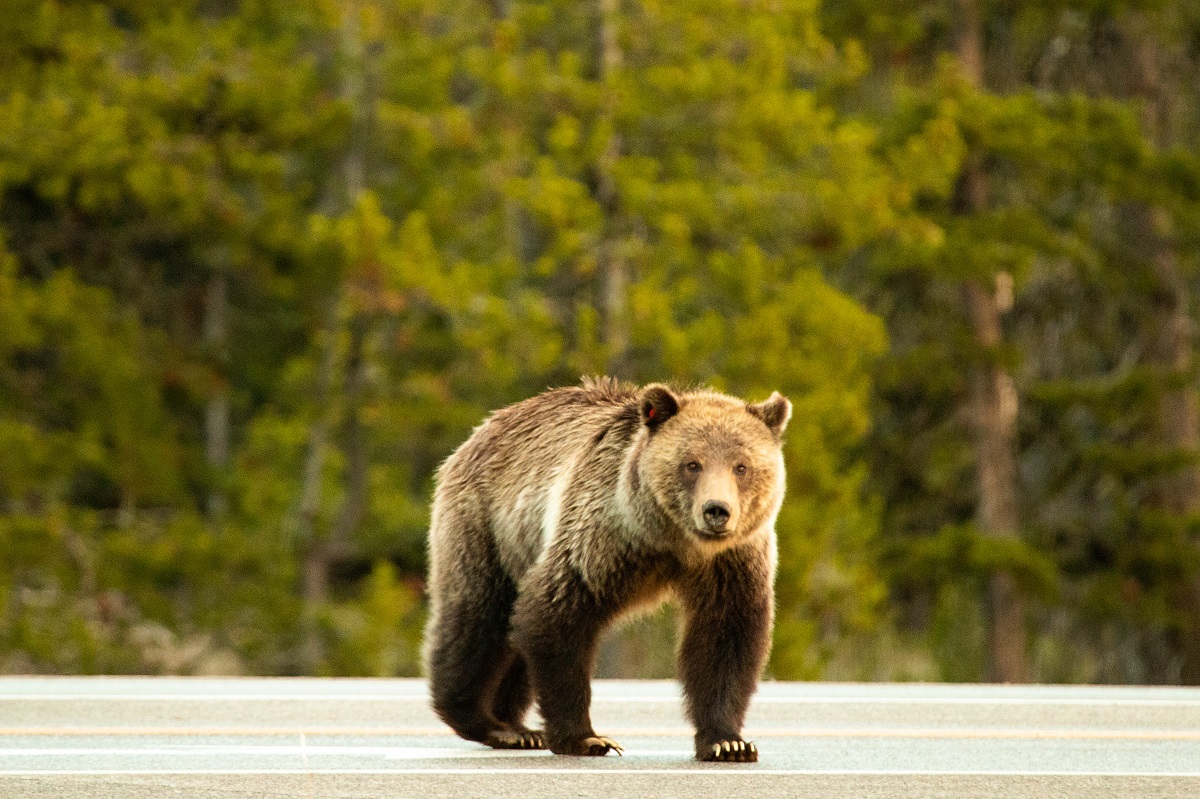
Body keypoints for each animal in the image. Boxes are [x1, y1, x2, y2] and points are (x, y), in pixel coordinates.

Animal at [422, 376, 787, 763]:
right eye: (692, 464)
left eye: (741, 466)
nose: (717, 510)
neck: (671, 540)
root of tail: (479, 431)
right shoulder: (603, 535)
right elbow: (557, 614)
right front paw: (586, 738)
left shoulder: (731, 562)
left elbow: (726, 637)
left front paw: (728, 742)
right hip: (487, 529)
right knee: (478, 619)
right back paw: (488, 722)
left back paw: (517, 726)